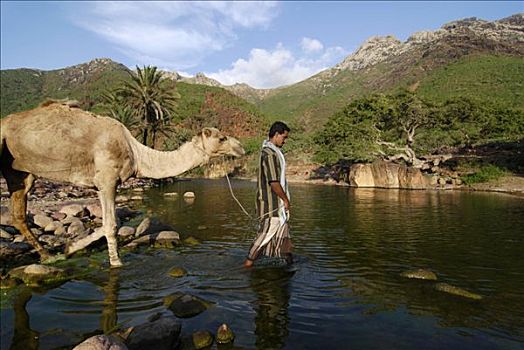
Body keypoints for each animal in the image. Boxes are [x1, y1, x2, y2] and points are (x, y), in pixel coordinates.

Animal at [0, 100, 246, 266]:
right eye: (222, 138)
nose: (241, 147)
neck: (137, 154)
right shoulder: (107, 179)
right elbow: (111, 225)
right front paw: (116, 263)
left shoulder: (104, 184)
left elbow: (110, 222)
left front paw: (69, 248)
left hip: (21, 172)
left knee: (18, 213)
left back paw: (48, 256)